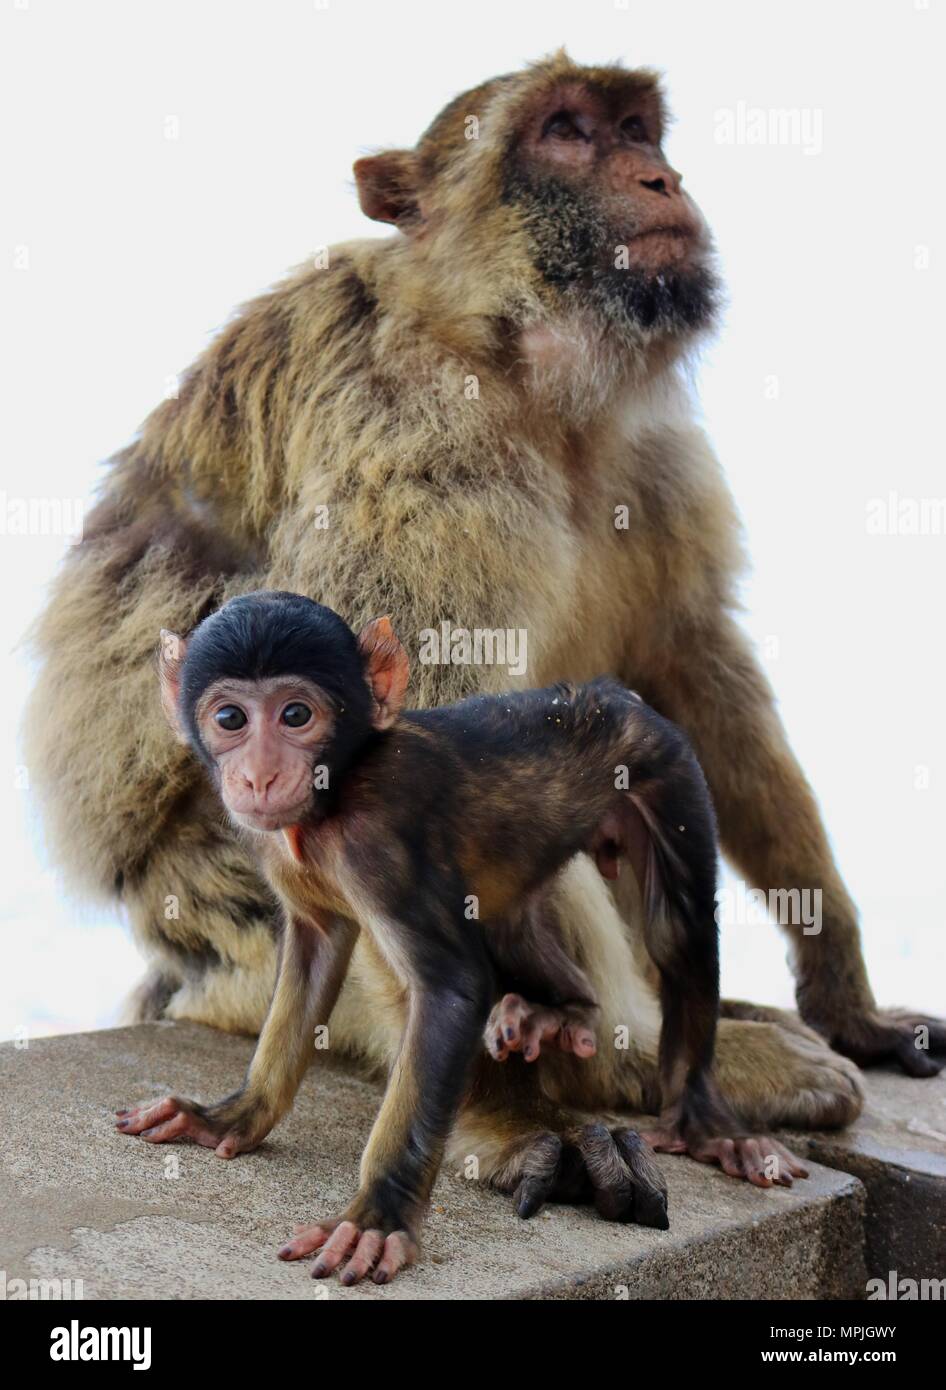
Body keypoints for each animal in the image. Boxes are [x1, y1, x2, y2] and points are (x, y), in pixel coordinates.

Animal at [116, 591, 807, 1283]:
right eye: (230, 717)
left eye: (295, 715)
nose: (258, 777)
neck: (335, 792)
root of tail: (605, 692)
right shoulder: (280, 850)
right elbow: (314, 953)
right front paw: (234, 1114)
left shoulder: (377, 841)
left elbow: (451, 988)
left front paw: (380, 1214)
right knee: (512, 915)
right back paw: (562, 1008)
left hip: (665, 764)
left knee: (676, 928)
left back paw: (704, 1123)